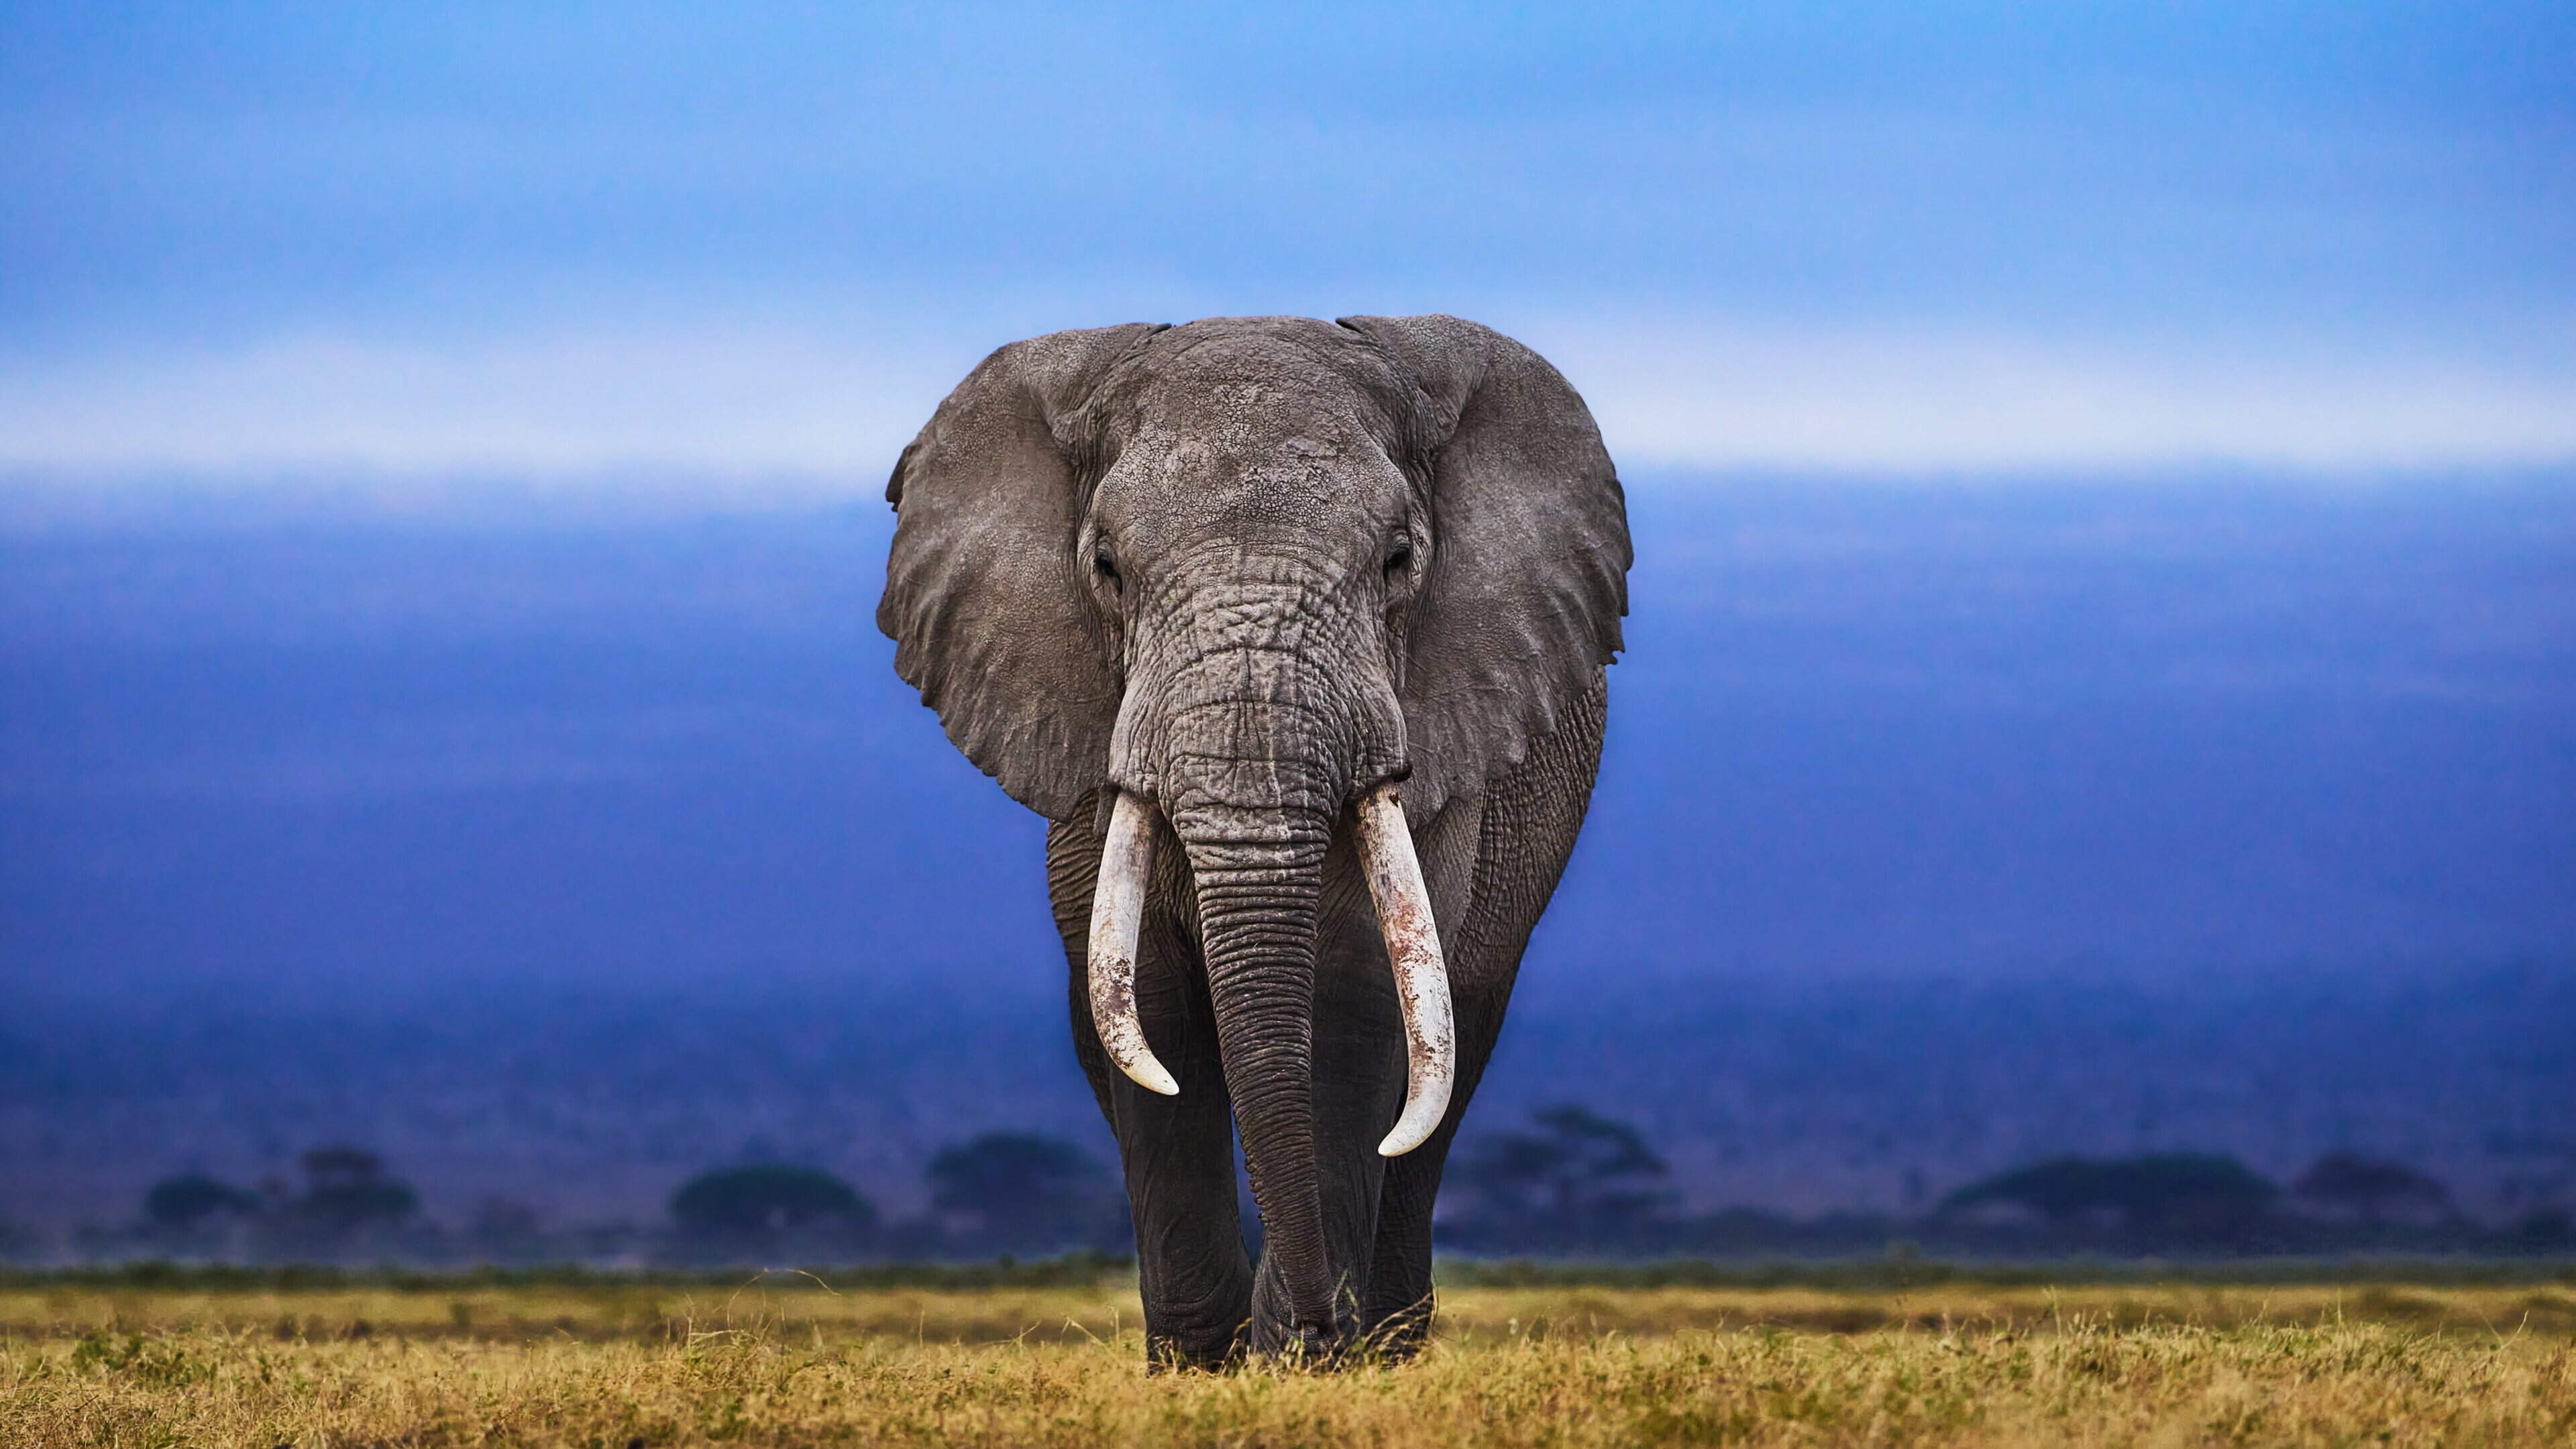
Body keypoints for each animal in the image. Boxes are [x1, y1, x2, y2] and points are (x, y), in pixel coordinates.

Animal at [878, 314, 1629, 1366]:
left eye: (1398, 560)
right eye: (1107, 570)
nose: (1316, 1324)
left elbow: (1356, 998)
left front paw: (1303, 1361)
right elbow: (1153, 1010)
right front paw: (1206, 1365)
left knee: (1445, 1074)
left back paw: (1386, 1341)